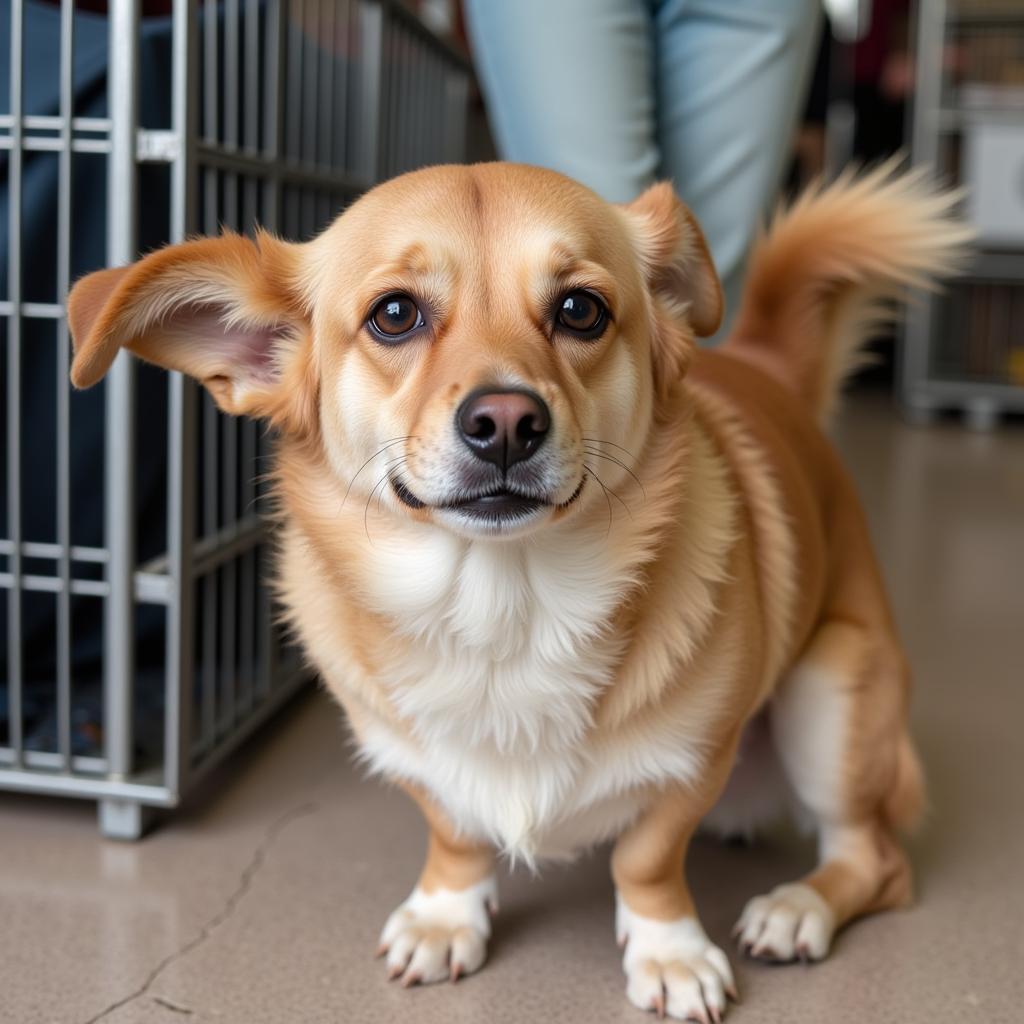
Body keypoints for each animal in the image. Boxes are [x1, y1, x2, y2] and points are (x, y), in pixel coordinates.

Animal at [66, 163, 966, 1019]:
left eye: (580, 310)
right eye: (395, 315)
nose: (504, 421)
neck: (503, 607)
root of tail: (762, 366)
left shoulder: (691, 765)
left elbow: (647, 862)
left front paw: (668, 953)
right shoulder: (414, 759)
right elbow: (456, 835)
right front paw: (446, 917)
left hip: (831, 690)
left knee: (876, 859)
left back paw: (797, 909)